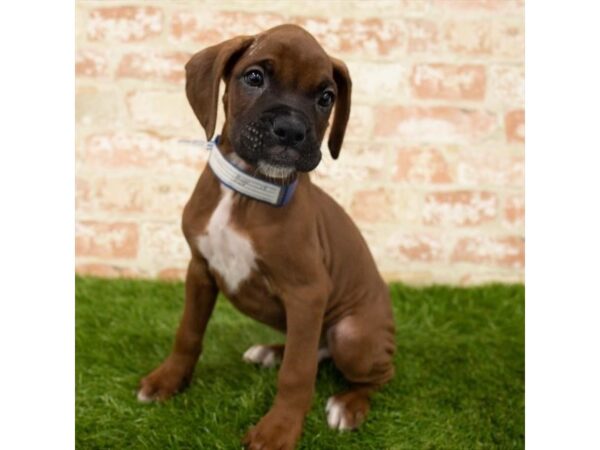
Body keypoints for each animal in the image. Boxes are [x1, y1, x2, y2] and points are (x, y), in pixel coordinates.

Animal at [138, 25, 396, 450]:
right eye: (254, 77)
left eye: (326, 98)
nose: (291, 130)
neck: (248, 189)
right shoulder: (200, 270)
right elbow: (188, 332)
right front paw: (168, 380)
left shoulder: (307, 293)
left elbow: (297, 373)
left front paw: (279, 429)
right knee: (312, 348)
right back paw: (271, 352)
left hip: (351, 333)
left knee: (374, 375)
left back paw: (349, 405)